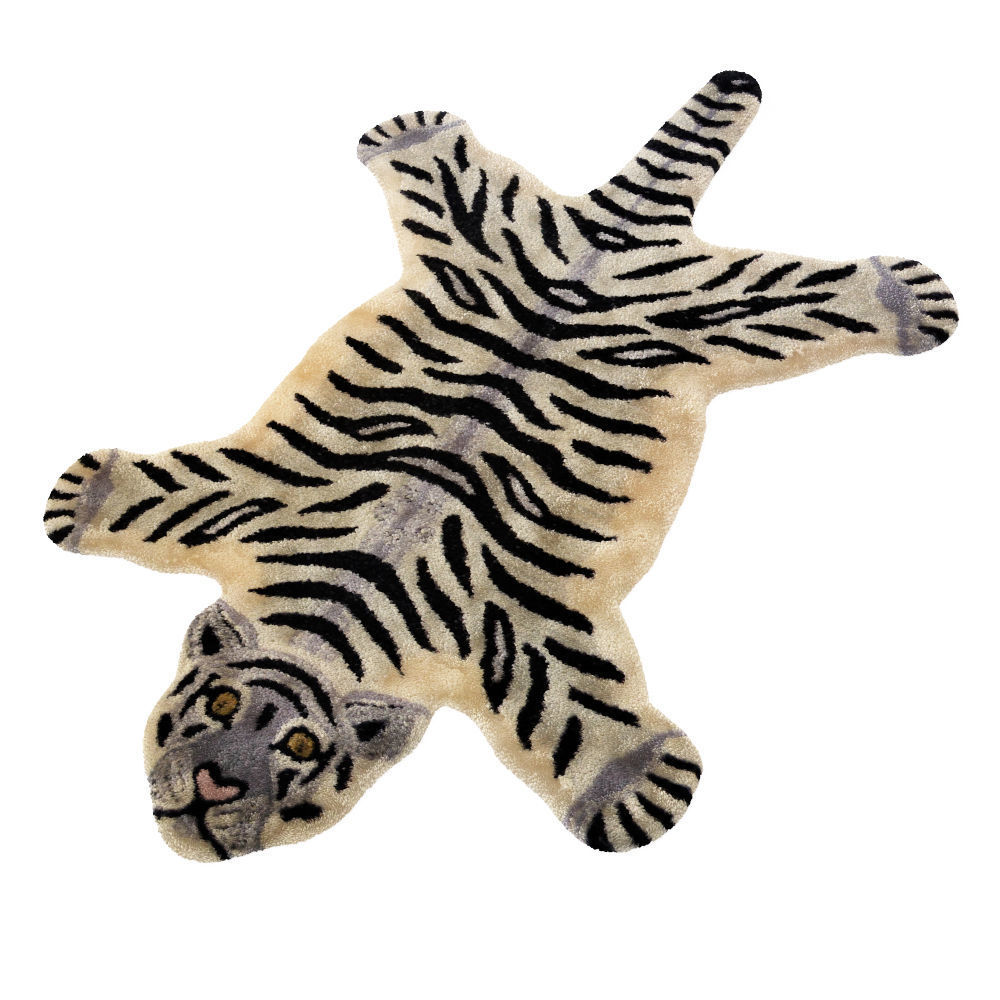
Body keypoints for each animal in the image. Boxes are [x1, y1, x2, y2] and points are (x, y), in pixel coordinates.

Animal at [44, 70, 957, 860]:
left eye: (300, 745)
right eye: (219, 702)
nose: (214, 782)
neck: (333, 612)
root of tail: (613, 233)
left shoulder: (513, 626)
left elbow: (578, 712)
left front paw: (636, 784)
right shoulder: (260, 490)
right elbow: (165, 489)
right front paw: (85, 496)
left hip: (711, 315)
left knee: (800, 298)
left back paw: (906, 297)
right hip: (483, 231)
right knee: (456, 178)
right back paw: (413, 134)